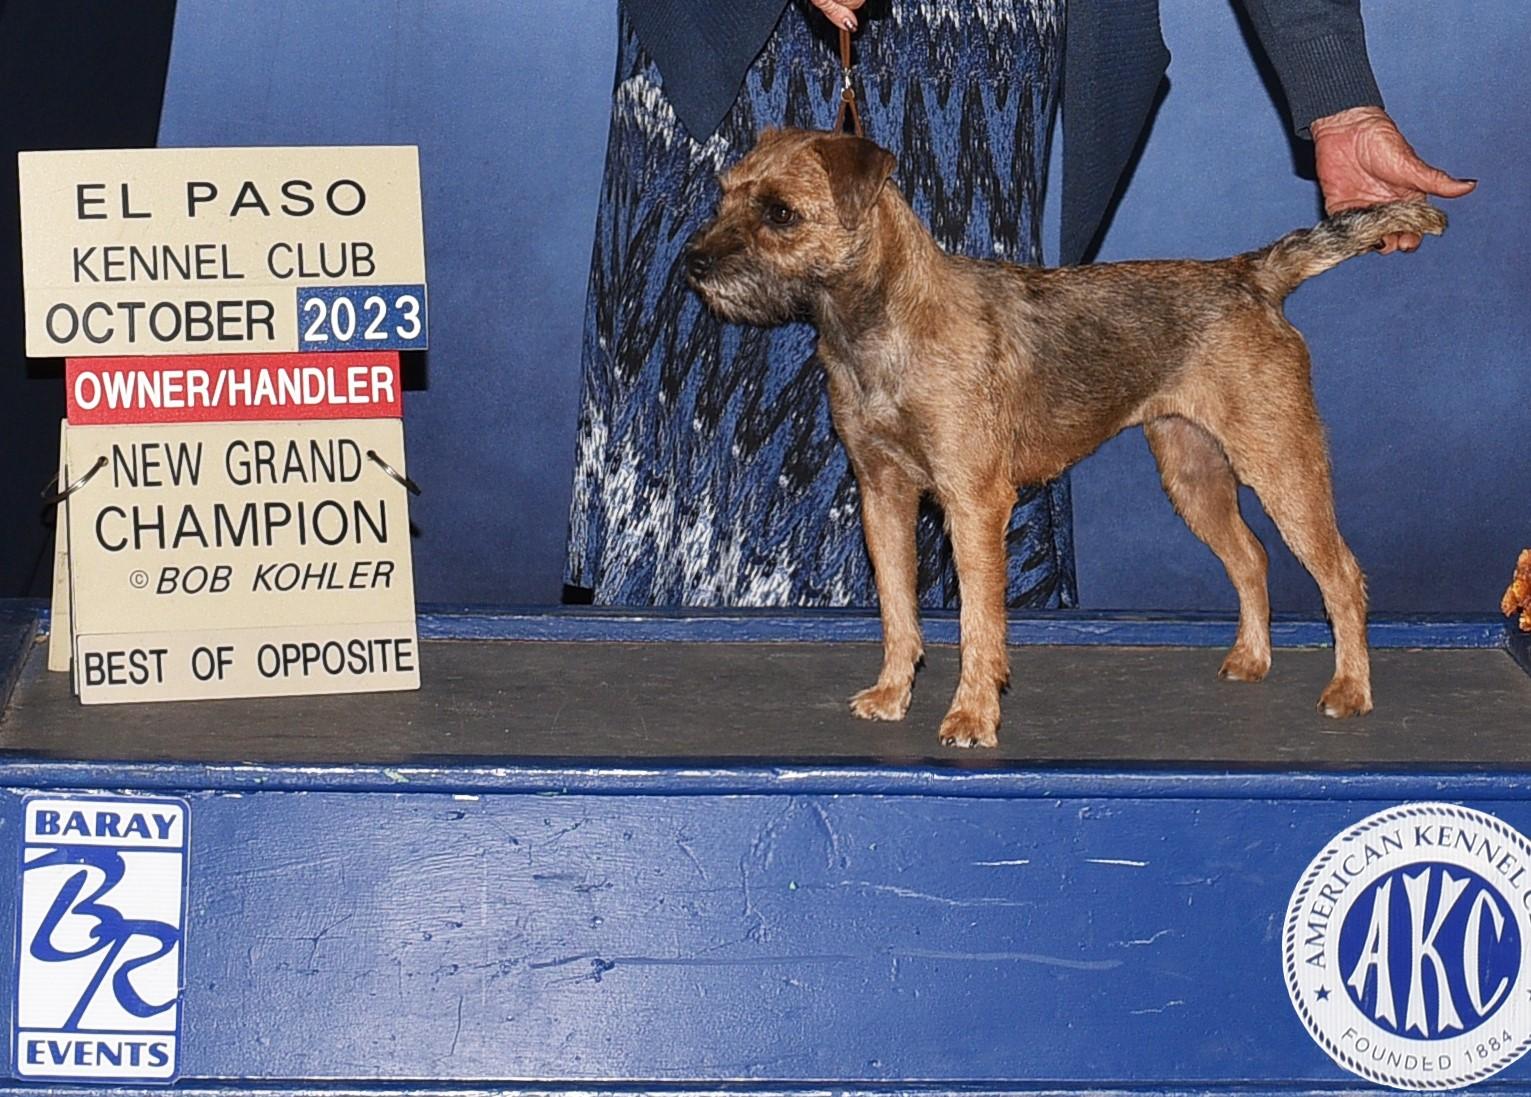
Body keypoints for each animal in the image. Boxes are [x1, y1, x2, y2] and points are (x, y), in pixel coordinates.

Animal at [686, 127, 1446, 748]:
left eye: (780, 212)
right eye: (723, 195)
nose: (693, 262)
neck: (878, 326)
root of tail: (1249, 275)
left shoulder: (973, 502)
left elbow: (978, 622)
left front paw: (971, 716)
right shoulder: (882, 494)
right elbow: (898, 609)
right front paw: (893, 693)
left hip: (1282, 463)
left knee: (1341, 574)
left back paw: (1349, 690)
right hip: (1192, 473)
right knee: (1251, 557)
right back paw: (1250, 659)